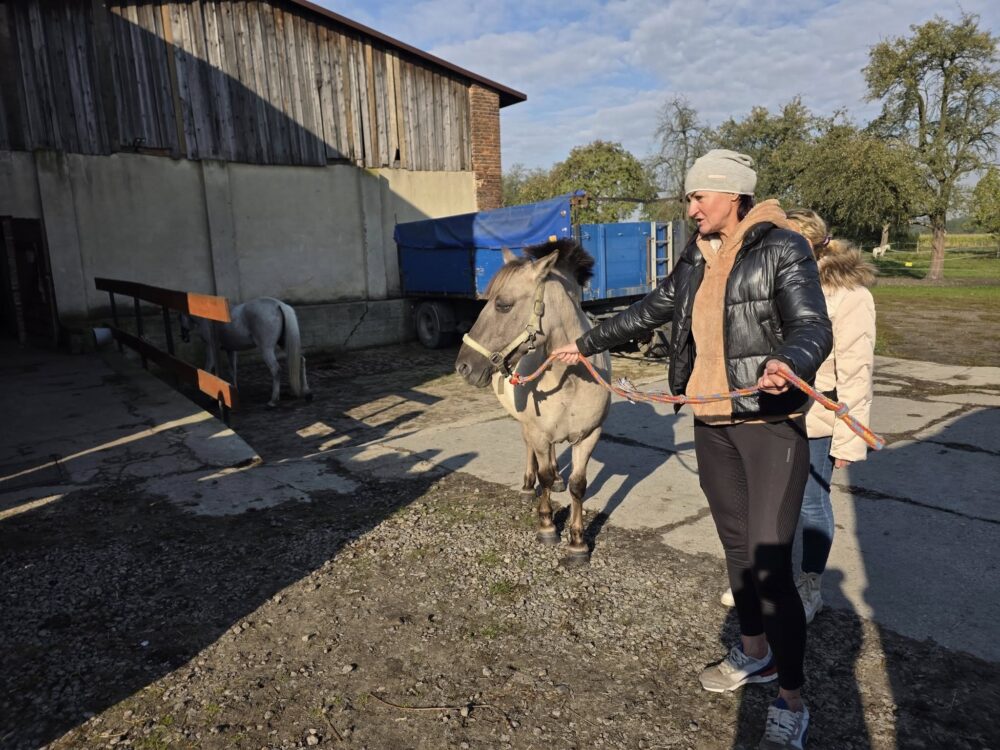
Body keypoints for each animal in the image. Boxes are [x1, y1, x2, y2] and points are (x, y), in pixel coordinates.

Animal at [179, 297, 311, 407]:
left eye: (180, 316)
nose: (183, 337)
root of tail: (278, 305)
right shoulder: (230, 350)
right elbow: (233, 371)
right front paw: (234, 391)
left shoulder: (211, 347)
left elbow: (208, 369)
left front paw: (211, 396)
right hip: (285, 344)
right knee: (300, 360)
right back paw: (305, 392)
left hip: (266, 349)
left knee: (276, 369)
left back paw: (273, 400)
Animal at [455, 238, 611, 560]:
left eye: (503, 304)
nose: (463, 366)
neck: (570, 379)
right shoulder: (538, 431)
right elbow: (545, 477)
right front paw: (548, 527)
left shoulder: (590, 435)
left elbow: (578, 486)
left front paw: (578, 542)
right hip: (528, 425)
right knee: (533, 453)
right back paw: (529, 485)